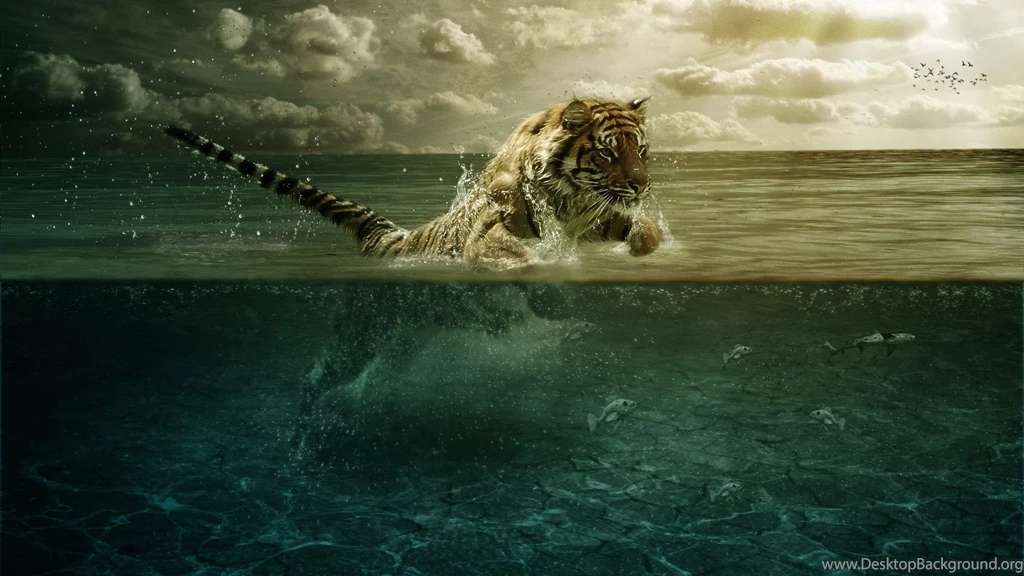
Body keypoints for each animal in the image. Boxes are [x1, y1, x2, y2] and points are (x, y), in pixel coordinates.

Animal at [162, 97, 662, 270]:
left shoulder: (599, 216)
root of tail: (391, 236)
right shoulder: (492, 227)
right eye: (607, 152)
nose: (641, 187)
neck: (571, 200)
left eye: (641, 150)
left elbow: (645, 232)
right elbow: (510, 252)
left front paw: (643, 248)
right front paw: (538, 265)